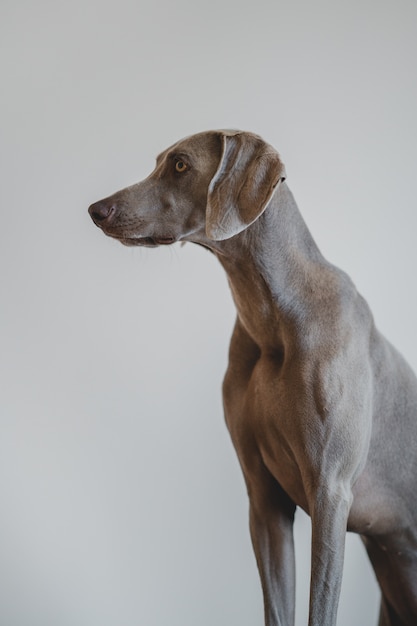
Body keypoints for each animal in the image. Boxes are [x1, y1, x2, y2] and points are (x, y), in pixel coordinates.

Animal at [88, 130, 416, 624]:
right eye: (159, 161)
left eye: (180, 165)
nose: (96, 209)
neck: (272, 319)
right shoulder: (264, 499)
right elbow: (276, 607)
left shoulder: (331, 494)